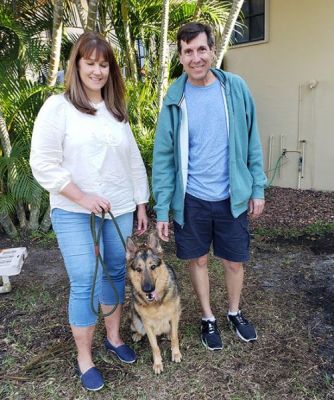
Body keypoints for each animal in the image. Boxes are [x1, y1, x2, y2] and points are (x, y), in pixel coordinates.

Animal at [126, 233, 183, 374]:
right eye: (138, 269)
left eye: (153, 267)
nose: (148, 289)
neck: (156, 303)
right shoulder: (147, 324)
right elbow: (154, 346)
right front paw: (157, 364)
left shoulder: (174, 316)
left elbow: (175, 337)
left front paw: (176, 354)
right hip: (135, 318)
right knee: (136, 327)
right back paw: (137, 334)